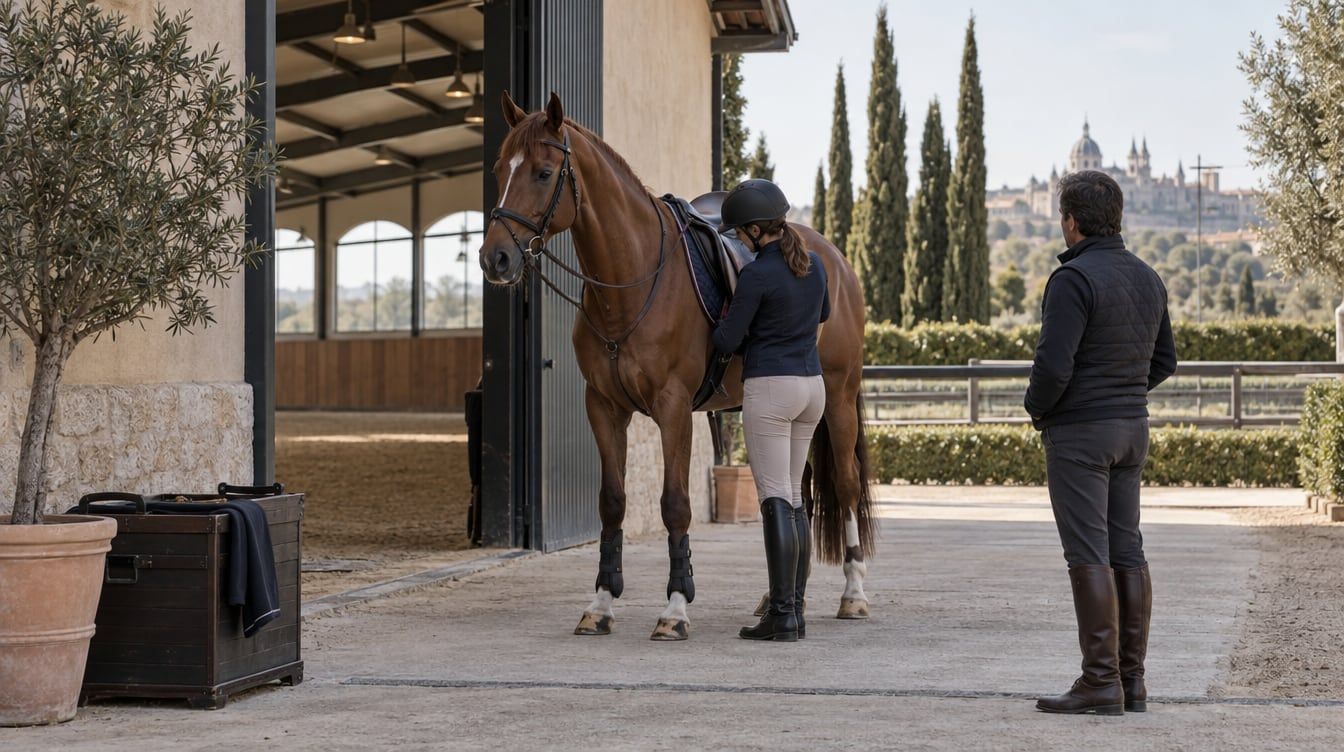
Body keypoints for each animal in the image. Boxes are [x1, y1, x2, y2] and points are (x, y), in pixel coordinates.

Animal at [480, 91, 876, 640]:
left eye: (542, 172)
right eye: (501, 169)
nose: (494, 258)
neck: (635, 278)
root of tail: (832, 258)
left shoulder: (673, 409)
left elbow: (674, 504)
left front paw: (675, 607)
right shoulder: (603, 408)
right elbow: (612, 501)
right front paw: (601, 603)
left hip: (836, 401)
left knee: (846, 485)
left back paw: (853, 594)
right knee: (795, 494)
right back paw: (776, 601)